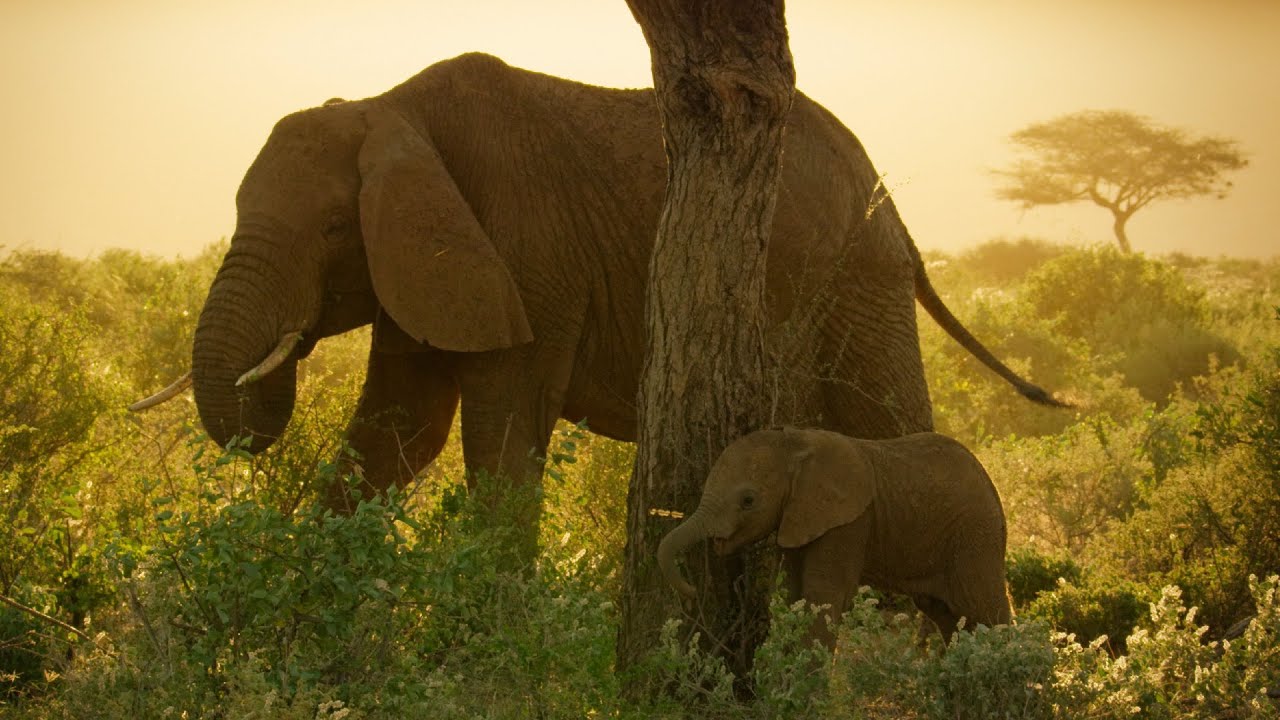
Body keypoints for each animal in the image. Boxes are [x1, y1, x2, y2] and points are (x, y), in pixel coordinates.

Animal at [132, 52, 1062, 512]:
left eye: (332, 229)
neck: (387, 105)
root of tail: (891, 200)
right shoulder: (440, 271)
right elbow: (395, 435)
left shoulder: (527, 252)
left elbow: (500, 439)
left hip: (858, 276)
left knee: (893, 424)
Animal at [657, 427, 1012, 648]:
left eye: (748, 500)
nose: (692, 593)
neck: (796, 442)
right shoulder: (799, 518)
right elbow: (793, 595)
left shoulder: (849, 523)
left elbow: (823, 597)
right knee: (950, 617)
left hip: (974, 537)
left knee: (985, 611)